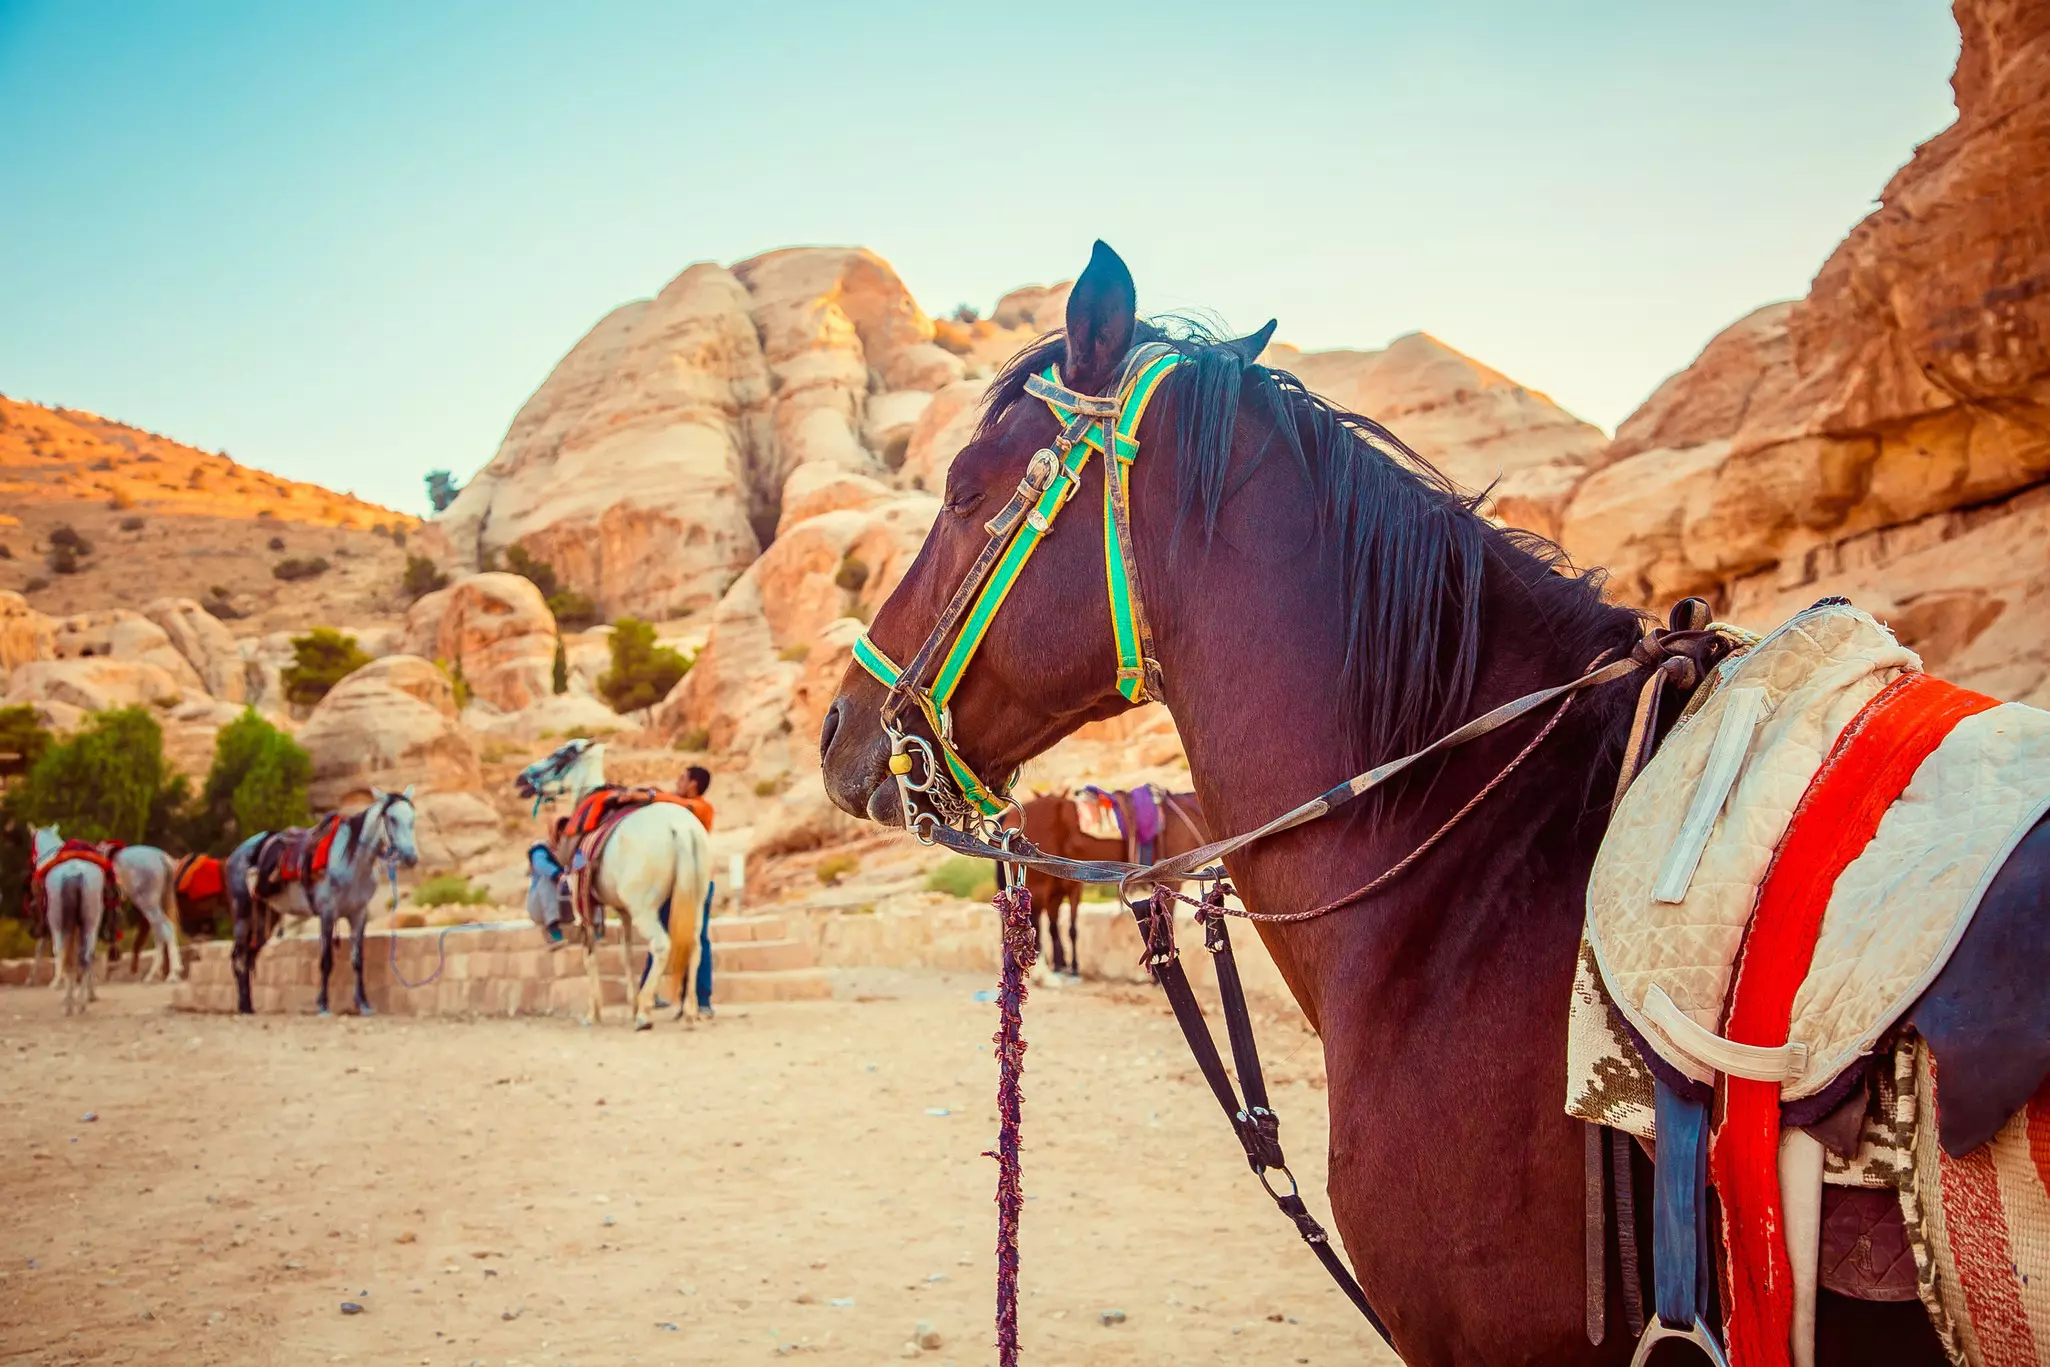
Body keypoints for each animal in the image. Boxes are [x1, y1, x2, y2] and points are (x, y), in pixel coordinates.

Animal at [28, 825, 110, 1015]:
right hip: (90, 922)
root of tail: (75, 873)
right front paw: (89, 993)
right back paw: (80, 1003)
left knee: (65, 954)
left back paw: (68, 1004)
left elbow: (50, 950)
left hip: (58, 923)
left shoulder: (51, 924)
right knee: (85, 957)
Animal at [224, 789, 421, 1015]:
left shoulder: (358, 915)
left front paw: (363, 1004)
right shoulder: (327, 913)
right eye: (391, 818)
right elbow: (326, 960)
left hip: (266, 917)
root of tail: (236, 854)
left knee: (248, 955)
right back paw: (244, 1006)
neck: (350, 861)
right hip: (242, 912)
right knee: (239, 956)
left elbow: (357, 961)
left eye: (412, 819)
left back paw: (248, 1005)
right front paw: (323, 1004)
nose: (410, 858)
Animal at [514, 739, 710, 1031]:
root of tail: (681, 828)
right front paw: (630, 1004)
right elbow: (626, 953)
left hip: (645, 910)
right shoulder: (622, 911)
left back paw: (645, 1012)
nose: (521, 779)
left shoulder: (583, 906)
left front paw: (593, 1013)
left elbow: (589, 954)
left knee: (662, 945)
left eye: (559, 755)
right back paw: (687, 1011)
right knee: (695, 947)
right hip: (694, 901)